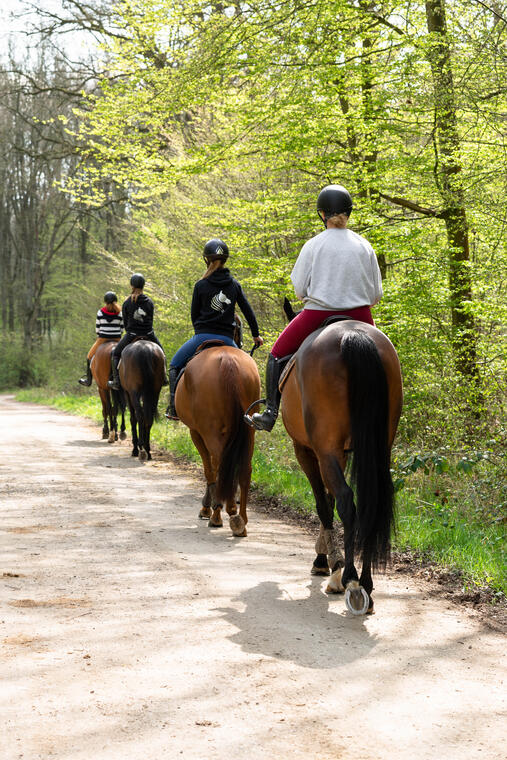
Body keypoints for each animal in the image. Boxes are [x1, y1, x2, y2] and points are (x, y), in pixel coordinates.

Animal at [176, 344, 262, 540]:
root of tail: (228, 361)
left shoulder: (196, 433)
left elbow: (209, 469)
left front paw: (207, 508)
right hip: (249, 431)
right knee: (244, 469)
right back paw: (241, 520)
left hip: (211, 432)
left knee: (221, 465)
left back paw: (224, 514)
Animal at [280, 318, 402, 616]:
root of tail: (353, 335)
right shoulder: (340, 454)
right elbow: (329, 498)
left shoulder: (307, 450)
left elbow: (324, 504)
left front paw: (327, 564)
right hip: (378, 447)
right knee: (370, 503)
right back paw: (366, 583)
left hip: (324, 450)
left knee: (347, 501)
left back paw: (352, 581)